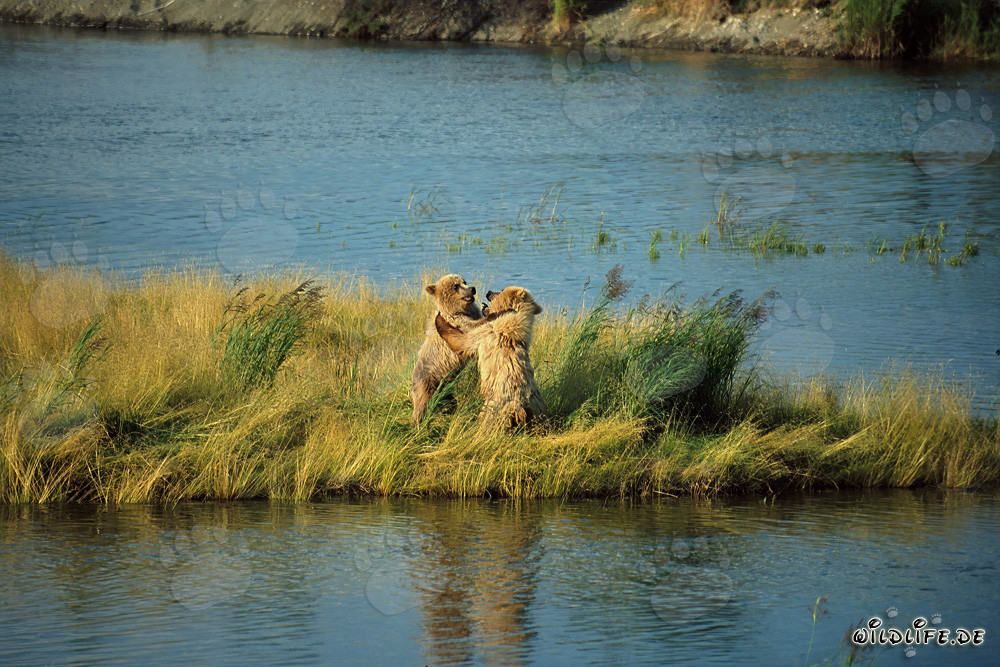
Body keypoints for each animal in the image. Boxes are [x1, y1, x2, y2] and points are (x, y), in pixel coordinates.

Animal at [409, 274, 482, 426]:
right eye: (455, 286)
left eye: (464, 281)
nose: (472, 289)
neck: (459, 309)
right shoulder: (455, 323)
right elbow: (472, 330)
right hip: (426, 382)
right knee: (422, 403)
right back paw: (416, 422)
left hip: (445, 387)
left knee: (448, 401)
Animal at [434, 286, 546, 433]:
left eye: (501, 290)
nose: (489, 292)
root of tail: (520, 406)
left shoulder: (486, 333)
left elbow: (463, 342)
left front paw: (440, 318)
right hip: (537, 407)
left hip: (495, 407)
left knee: (489, 420)